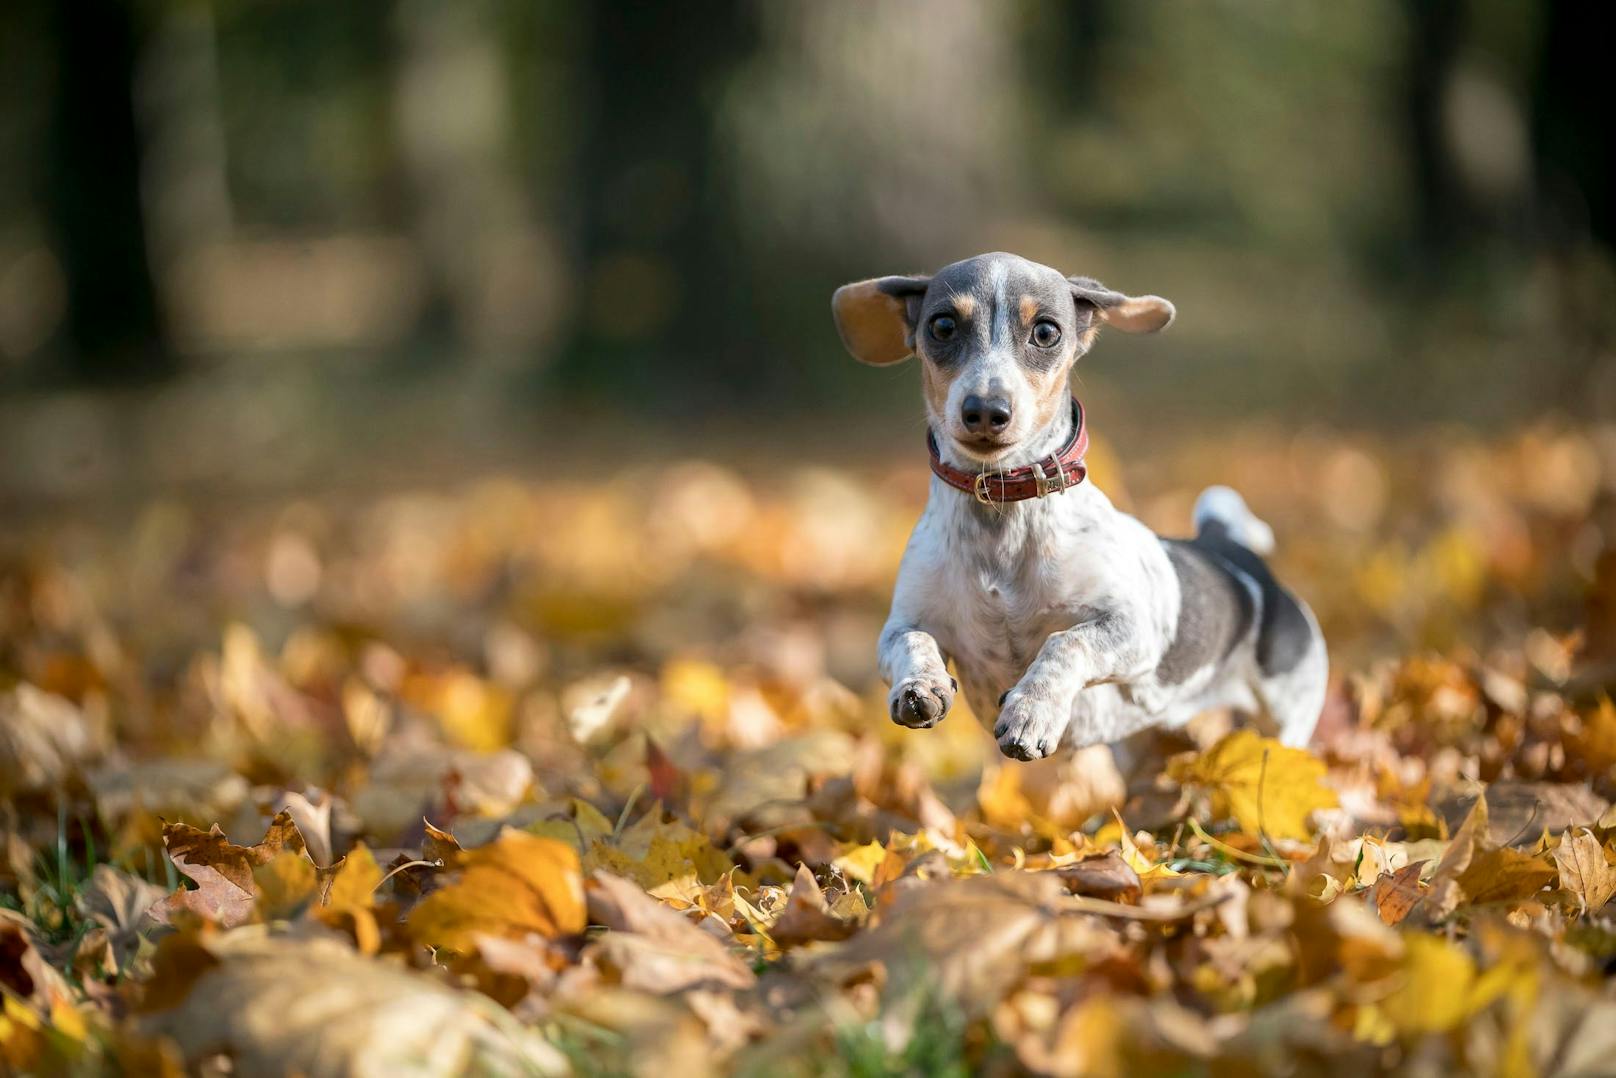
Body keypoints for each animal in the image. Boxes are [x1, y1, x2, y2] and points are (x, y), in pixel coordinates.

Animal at [833, 250, 1325, 766]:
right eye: (943, 326)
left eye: (1046, 332)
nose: (985, 408)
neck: (1003, 514)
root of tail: (1232, 550)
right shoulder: (902, 624)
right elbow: (913, 640)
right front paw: (920, 685)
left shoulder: (1133, 627)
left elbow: (1064, 642)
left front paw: (1032, 711)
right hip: (1138, 750)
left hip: (1286, 721)